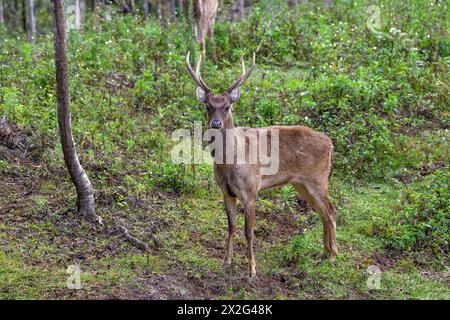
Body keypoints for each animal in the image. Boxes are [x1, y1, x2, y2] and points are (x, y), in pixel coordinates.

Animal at [185, 52, 338, 278]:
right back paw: (325, 252)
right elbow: (231, 226)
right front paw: (226, 262)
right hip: (301, 184)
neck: (229, 165)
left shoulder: (251, 190)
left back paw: (333, 255)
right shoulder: (226, 191)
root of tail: (330, 144)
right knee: (323, 212)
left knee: (331, 211)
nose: (216, 123)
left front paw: (252, 270)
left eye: (227, 107)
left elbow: (249, 231)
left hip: (318, 178)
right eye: (208, 106)